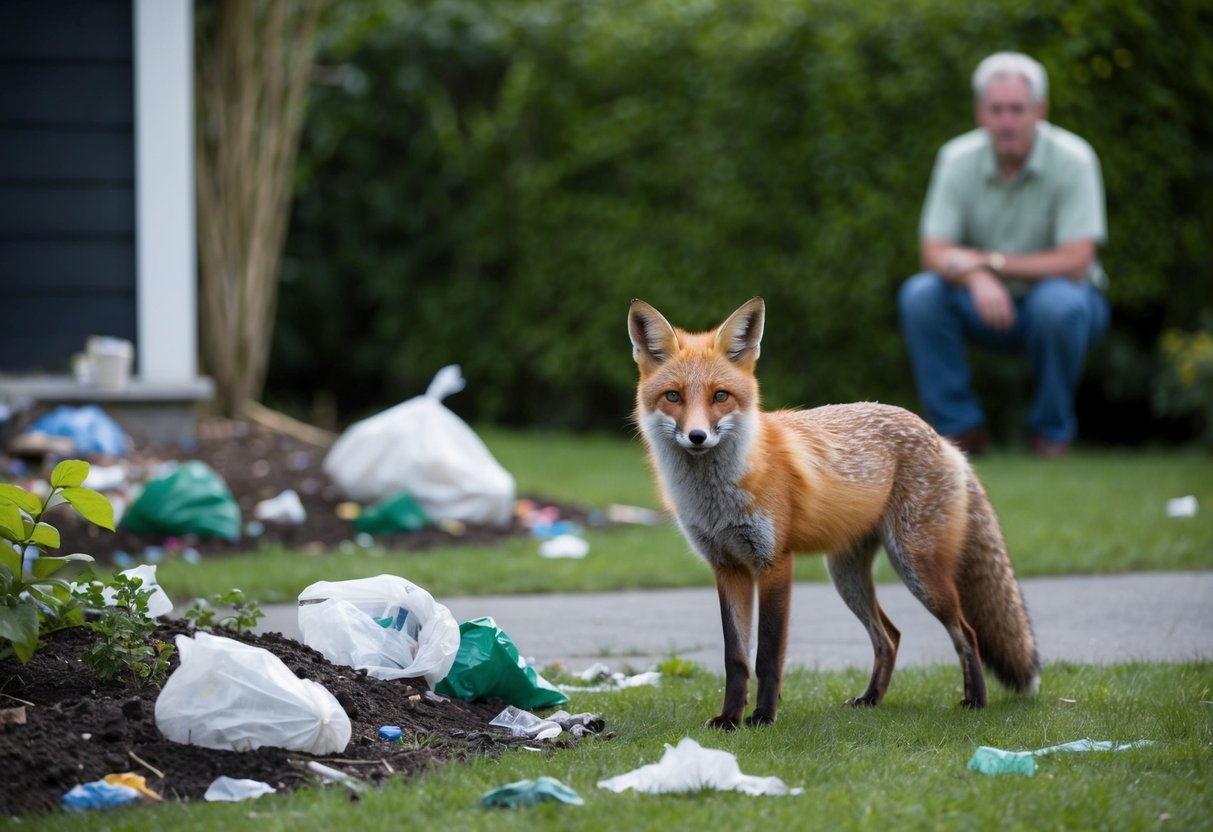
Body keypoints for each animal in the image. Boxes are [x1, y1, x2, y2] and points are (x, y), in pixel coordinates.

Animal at [628, 296, 1040, 728]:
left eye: (720, 396)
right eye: (673, 396)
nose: (697, 437)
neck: (717, 499)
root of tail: (943, 439)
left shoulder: (774, 562)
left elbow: (767, 655)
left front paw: (763, 717)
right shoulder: (727, 567)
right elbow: (735, 658)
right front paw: (729, 720)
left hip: (919, 570)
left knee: (967, 633)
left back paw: (976, 701)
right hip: (847, 575)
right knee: (890, 636)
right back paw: (871, 699)